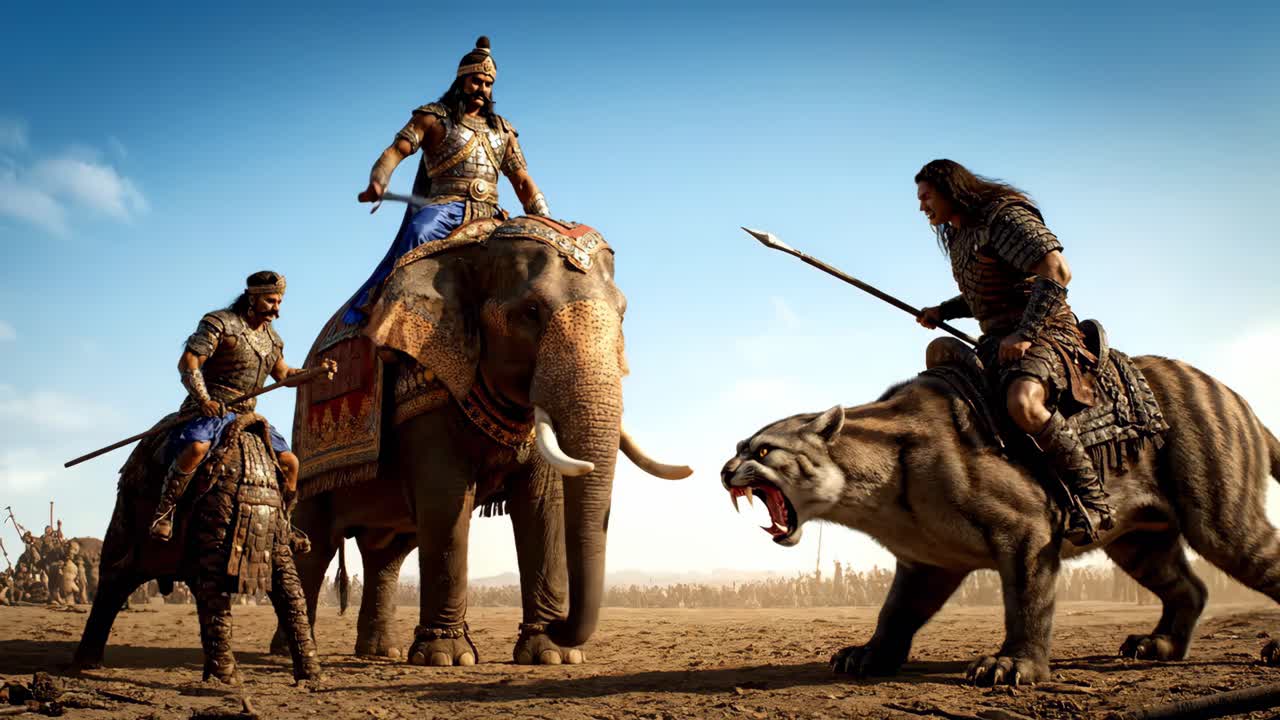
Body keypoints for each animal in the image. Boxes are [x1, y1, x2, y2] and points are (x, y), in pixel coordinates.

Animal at [272, 216, 690, 666]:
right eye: (531, 312)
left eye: (623, 315)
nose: (562, 627)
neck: (475, 250)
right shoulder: (425, 384)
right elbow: (446, 499)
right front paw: (447, 658)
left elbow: (542, 503)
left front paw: (551, 655)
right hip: (306, 451)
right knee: (314, 541)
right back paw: (288, 653)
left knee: (388, 553)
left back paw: (382, 653)